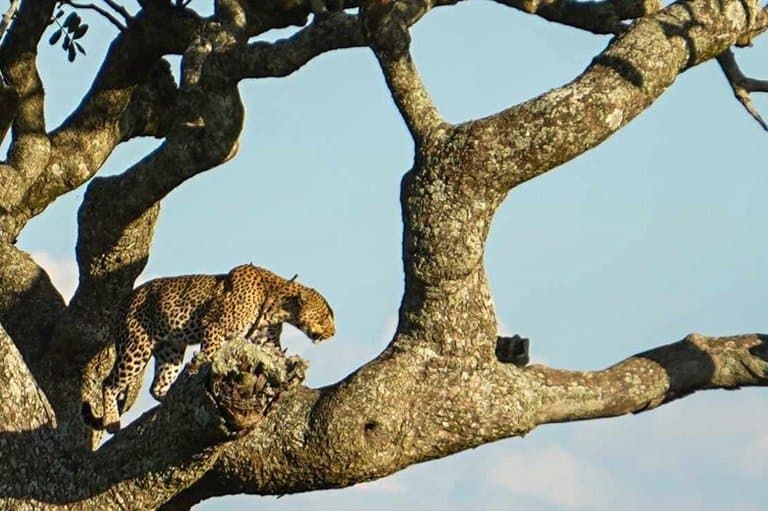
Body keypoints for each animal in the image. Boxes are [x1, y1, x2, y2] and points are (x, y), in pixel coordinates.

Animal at [88, 264, 332, 436]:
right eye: (324, 317)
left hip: (170, 350)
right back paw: (112, 422)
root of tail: (125, 299)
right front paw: (205, 368)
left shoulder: (267, 341)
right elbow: (211, 353)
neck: (278, 307)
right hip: (135, 346)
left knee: (157, 386)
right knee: (109, 383)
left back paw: (172, 396)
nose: (333, 332)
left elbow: (277, 358)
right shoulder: (214, 325)